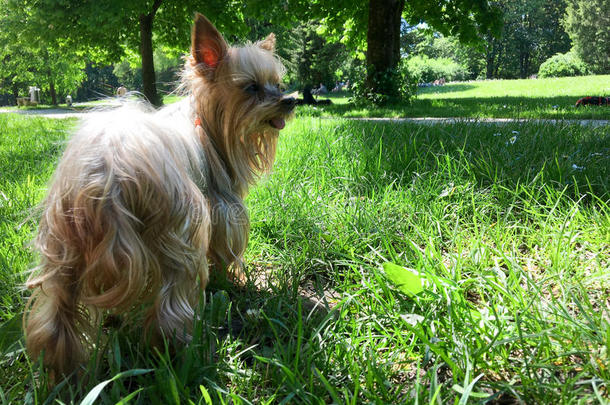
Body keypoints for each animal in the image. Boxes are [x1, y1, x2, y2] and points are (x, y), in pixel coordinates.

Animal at [25, 13, 296, 378]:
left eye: (277, 84)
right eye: (252, 87)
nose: (290, 100)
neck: (206, 121)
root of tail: (107, 177)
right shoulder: (223, 207)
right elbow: (227, 247)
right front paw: (235, 278)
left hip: (63, 244)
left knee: (56, 317)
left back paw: (63, 374)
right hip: (180, 233)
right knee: (171, 310)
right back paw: (182, 356)